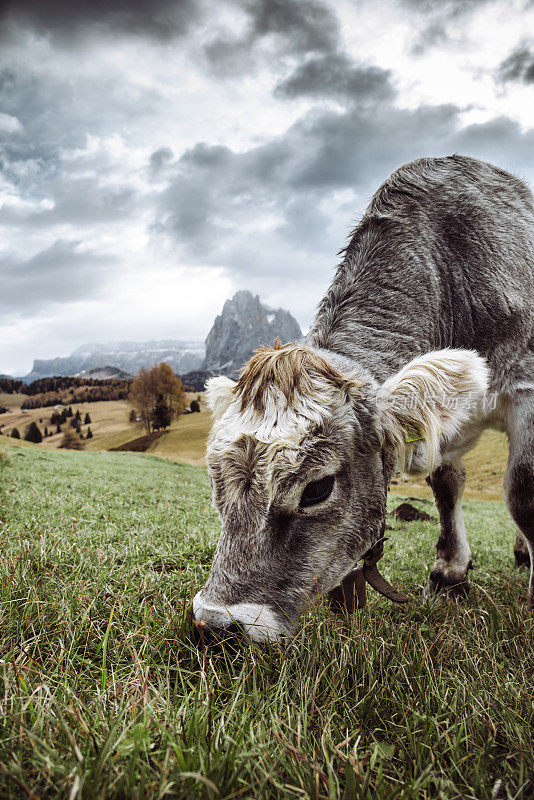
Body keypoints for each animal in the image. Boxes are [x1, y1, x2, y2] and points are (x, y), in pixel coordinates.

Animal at [193, 155, 534, 644]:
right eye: (216, 483)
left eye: (317, 488)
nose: (215, 624)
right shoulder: (443, 427)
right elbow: (446, 484)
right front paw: (450, 574)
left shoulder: (526, 387)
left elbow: (523, 487)